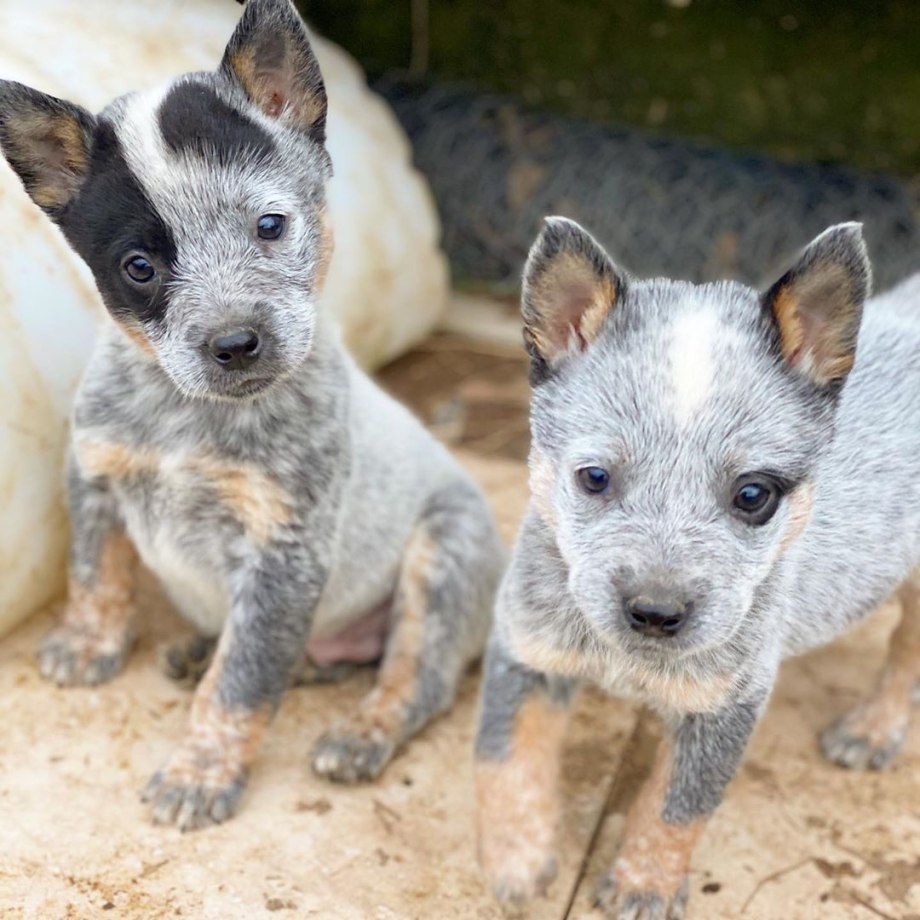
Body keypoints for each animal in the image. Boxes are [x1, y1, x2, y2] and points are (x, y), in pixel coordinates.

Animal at [0, 0, 504, 832]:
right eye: (140, 266)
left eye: (270, 226)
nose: (235, 343)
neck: (186, 417)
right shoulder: (96, 480)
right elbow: (95, 576)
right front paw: (87, 645)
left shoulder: (282, 554)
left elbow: (239, 687)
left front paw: (200, 774)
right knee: (299, 659)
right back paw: (206, 650)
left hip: (442, 560)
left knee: (413, 680)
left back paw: (362, 733)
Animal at [474, 217, 920, 920]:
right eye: (594, 478)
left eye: (753, 494)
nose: (655, 613)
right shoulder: (527, 647)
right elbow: (506, 761)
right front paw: (515, 861)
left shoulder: (726, 704)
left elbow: (676, 809)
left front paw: (644, 886)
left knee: (907, 646)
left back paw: (875, 728)